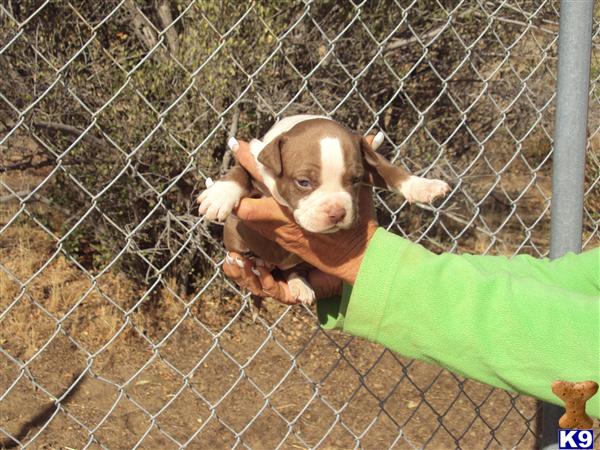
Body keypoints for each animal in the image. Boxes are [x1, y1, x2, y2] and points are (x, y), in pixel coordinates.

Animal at [197, 116, 450, 306]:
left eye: (355, 180)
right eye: (303, 182)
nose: (337, 212)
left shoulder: (370, 165)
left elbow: (389, 169)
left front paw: (423, 186)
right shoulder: (254, 162)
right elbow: (239, 171)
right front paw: (219, 194)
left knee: (293, 270)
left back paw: (299, 284)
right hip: (235, 235)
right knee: (245, 254)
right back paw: (250, 262)